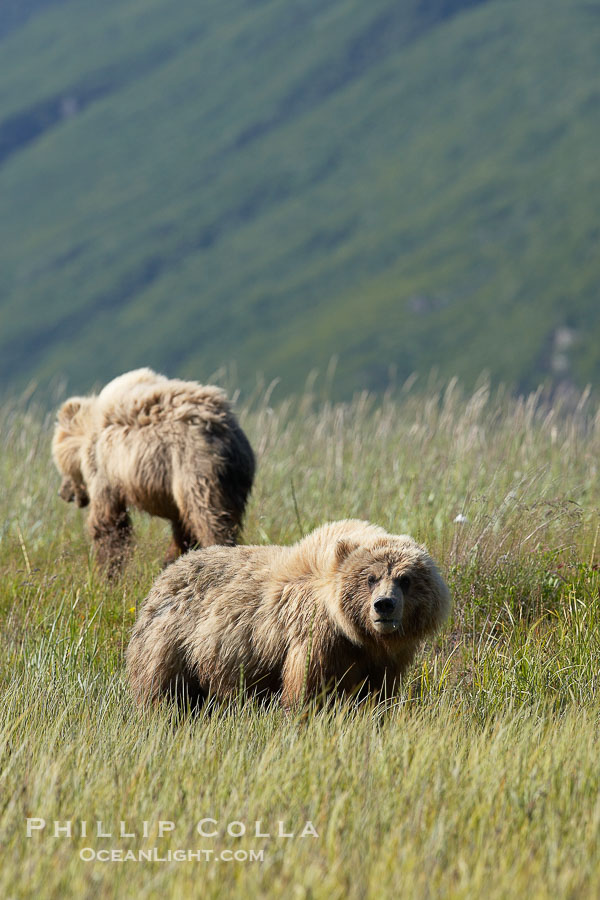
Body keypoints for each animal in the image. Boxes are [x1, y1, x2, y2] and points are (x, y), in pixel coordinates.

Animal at [52, 368, 255, 575]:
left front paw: (106, 569)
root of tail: (227, 434)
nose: (62, 493)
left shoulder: (105, 469)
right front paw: (171, 560)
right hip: (233, 479)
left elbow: (109, 523)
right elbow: (181, 528)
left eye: (60, 466)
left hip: (195, 468)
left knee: (210, 517)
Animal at [126, 519, 451, 708]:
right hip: (173, 641)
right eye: (370, 578)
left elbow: (378, 694)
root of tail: (165, 574)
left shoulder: (384, 659)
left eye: (405, 579)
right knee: (162, 689)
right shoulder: (316, 638)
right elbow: (306, 688)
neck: (357, 635)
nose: (384, 605)